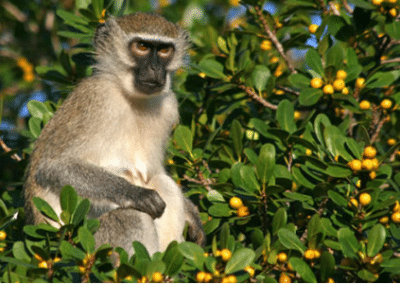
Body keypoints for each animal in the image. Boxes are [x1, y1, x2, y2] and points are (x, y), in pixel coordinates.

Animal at [23, 12, 206, 255]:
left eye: (165, 50)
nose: (155, 69)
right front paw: (136, 194)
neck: (132, 97)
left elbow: (156, 171)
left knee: (162, 182)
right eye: (142, 46)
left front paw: (193, 216)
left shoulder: (168, 106)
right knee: (130, 216)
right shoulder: (97, 98)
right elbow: (53, 167)